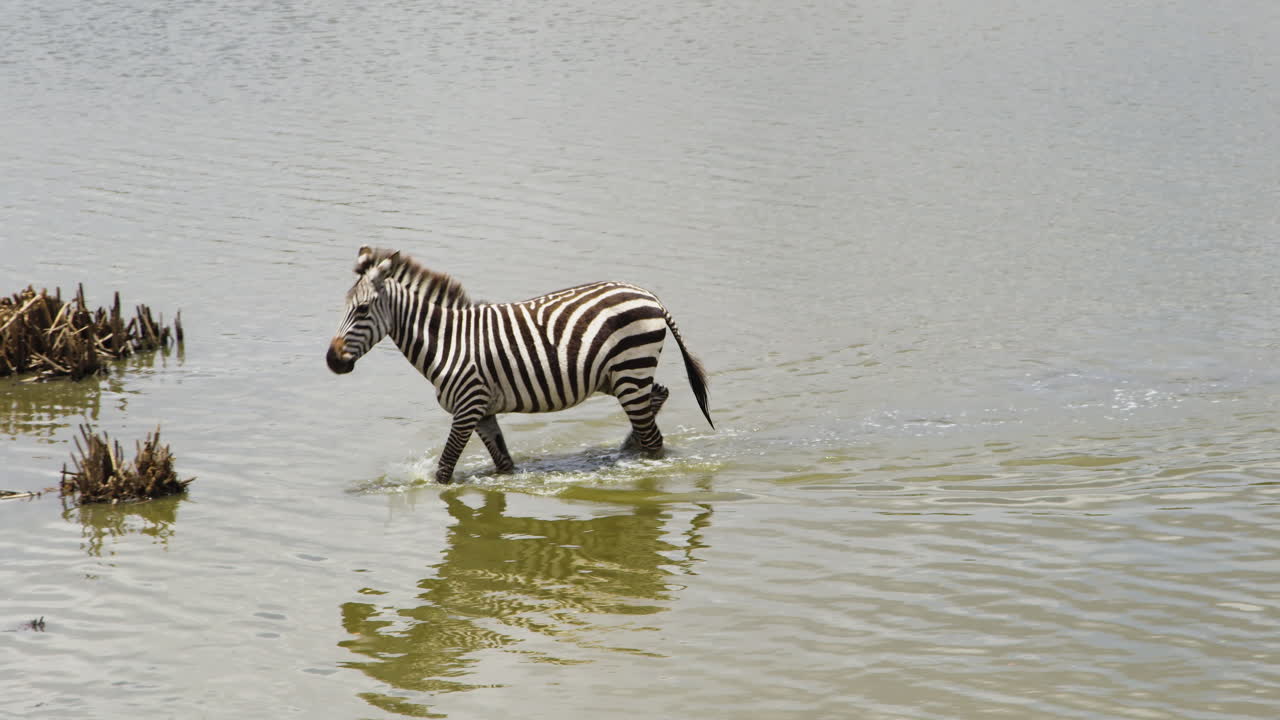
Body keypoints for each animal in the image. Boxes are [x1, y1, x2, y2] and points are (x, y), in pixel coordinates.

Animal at [326, 246, 713, 483]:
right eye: (345, 306)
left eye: (362, 310)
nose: (332, 361)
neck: (447, 342)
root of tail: (650, 296)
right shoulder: (482, 411)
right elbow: (504, 464)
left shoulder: (467, 406)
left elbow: (444, 469)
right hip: (620, 376)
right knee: (657, 398)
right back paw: (626, 448)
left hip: (630, 370)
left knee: (655, 437)